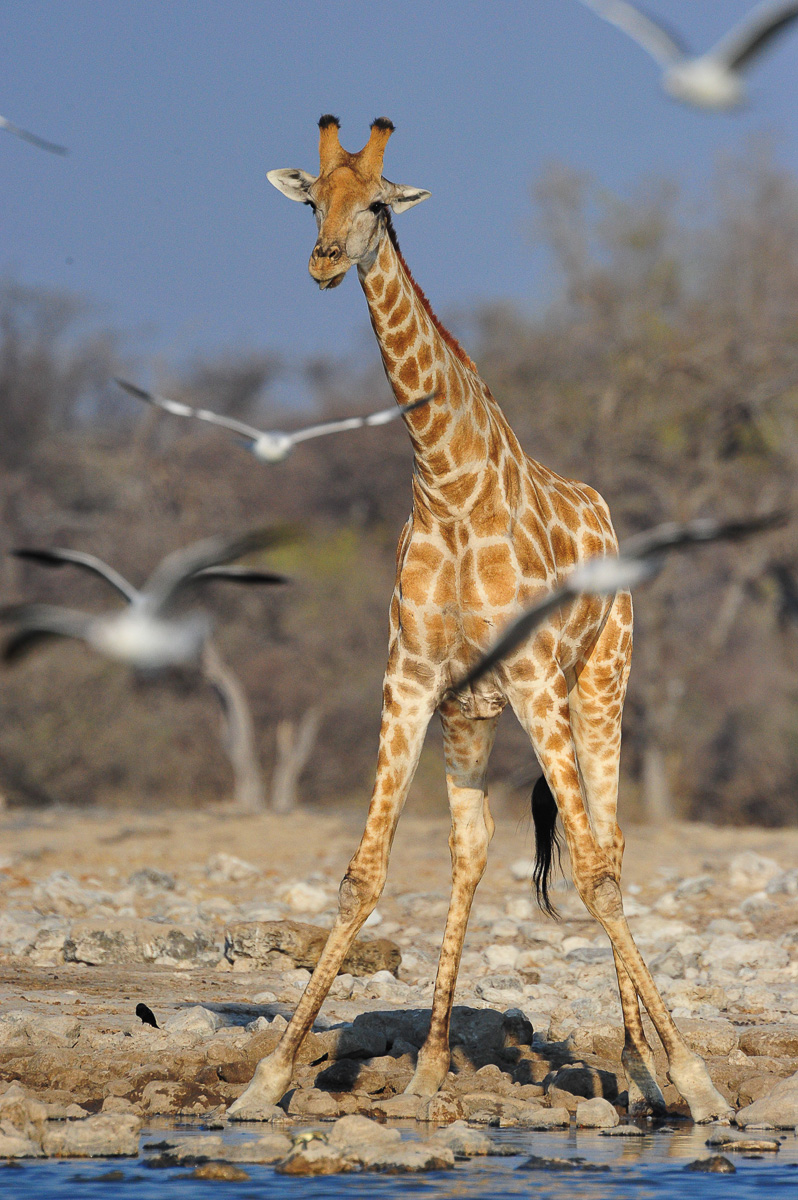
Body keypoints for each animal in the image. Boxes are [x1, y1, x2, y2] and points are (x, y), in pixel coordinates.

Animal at [228, 116, 733, 1124]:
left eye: (378, 204)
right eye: (314, 200)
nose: (324, 261)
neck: (448, 482)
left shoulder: (537, 680)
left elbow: (595, 874)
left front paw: (695, 1078)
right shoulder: (412, 680)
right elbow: (363, 874)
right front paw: (267, 1078)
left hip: (600, 686)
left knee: (609, 846)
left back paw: (643, 1066)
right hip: (472, 714)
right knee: (476, 850)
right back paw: (430, 1071)